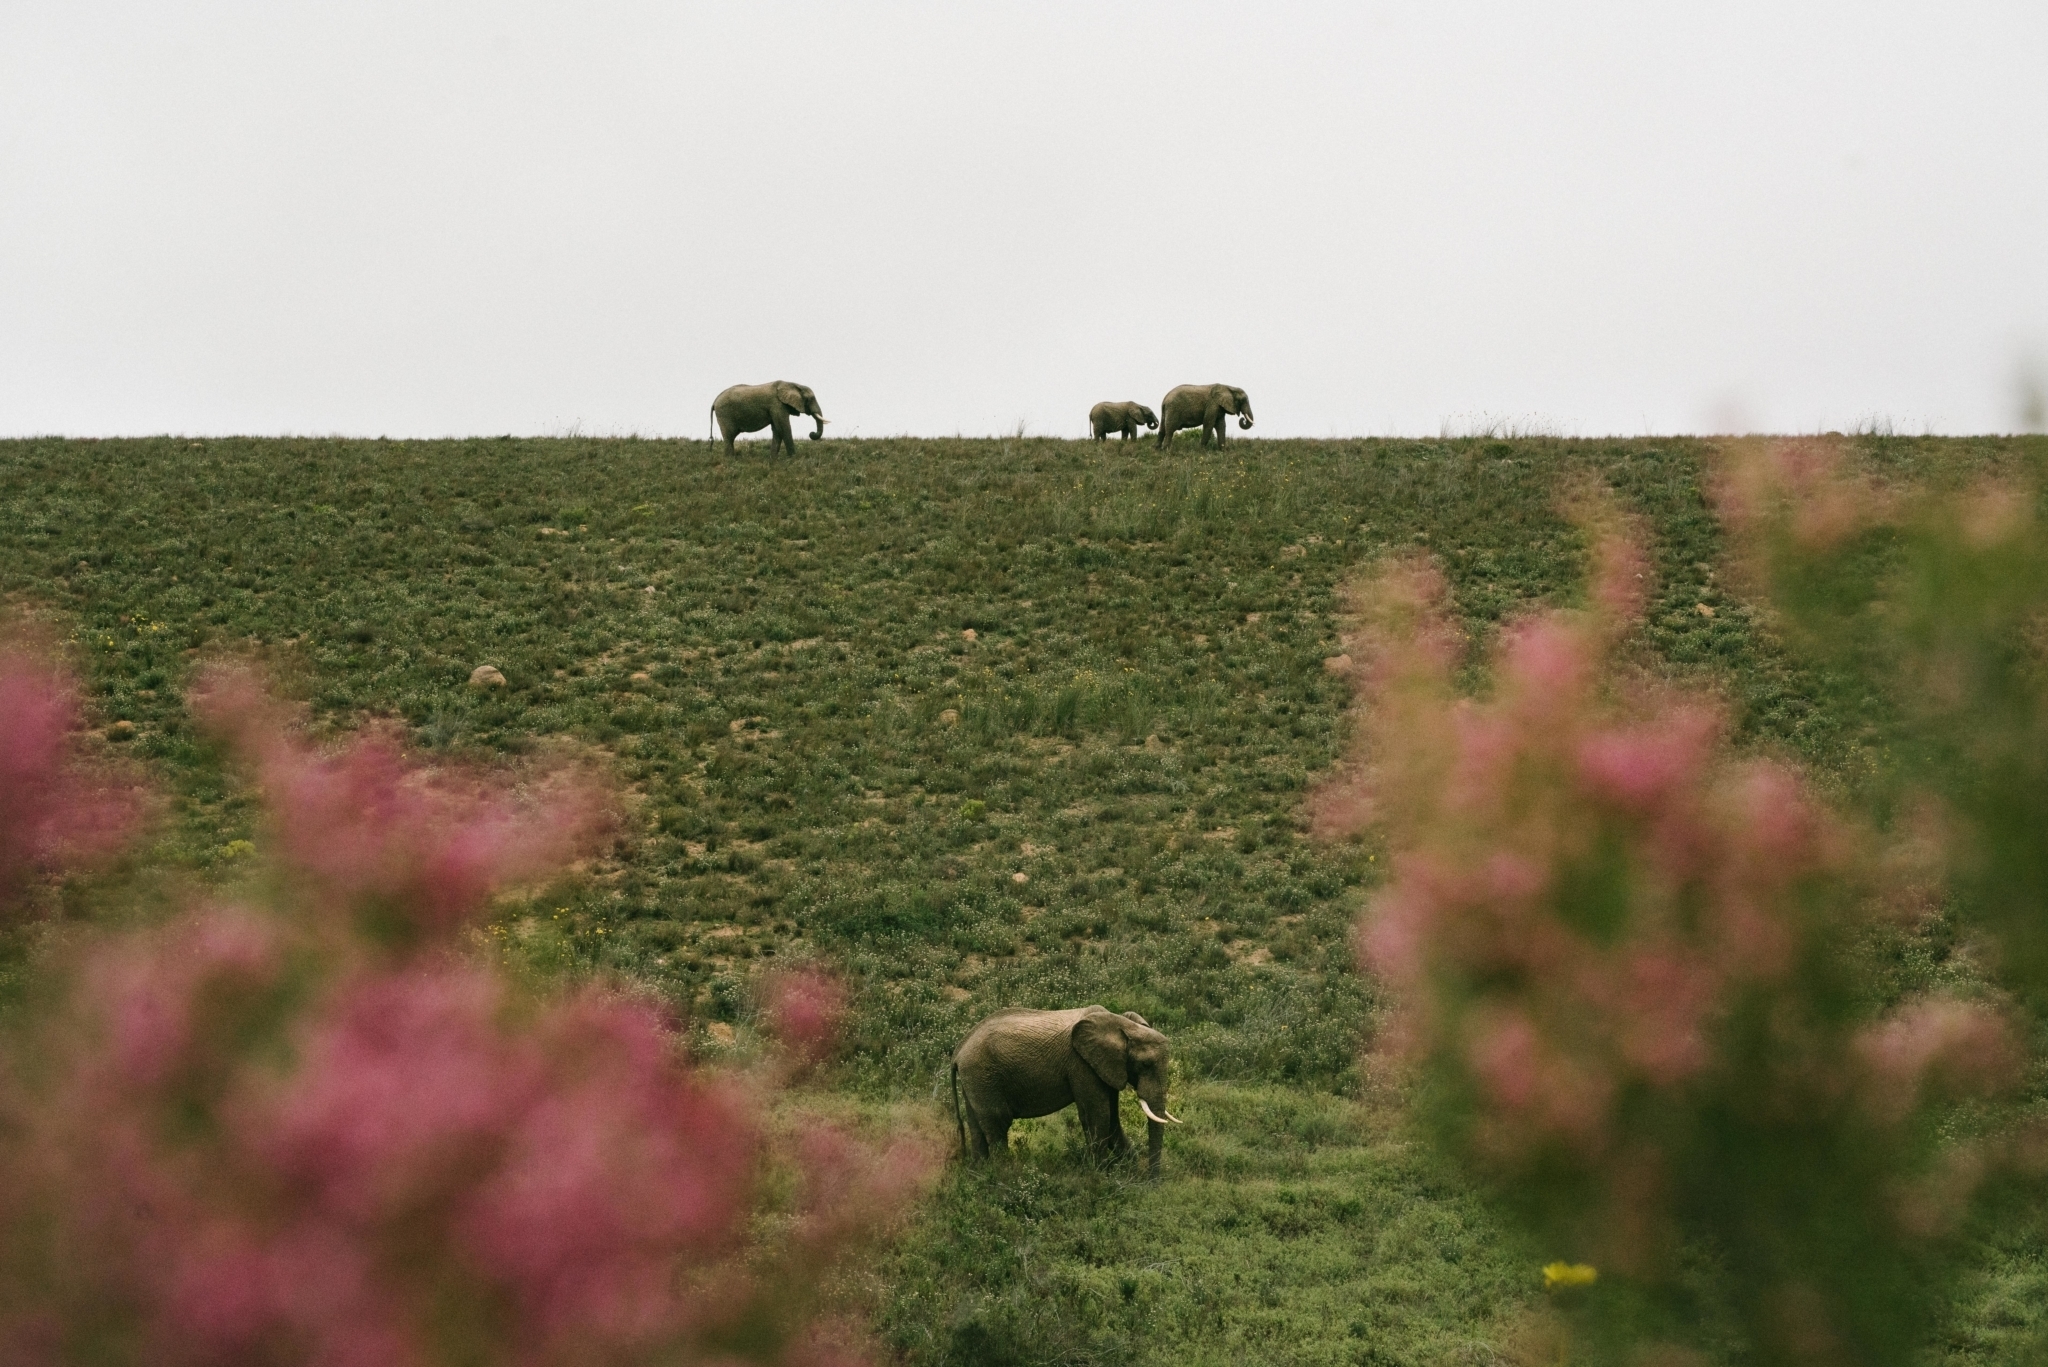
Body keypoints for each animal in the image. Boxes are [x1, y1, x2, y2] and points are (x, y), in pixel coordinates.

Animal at [951, 1006, 1181, 1170]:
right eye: (1146, 1065)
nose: (1151, 1182)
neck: (1121, 1023)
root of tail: (958, 1051)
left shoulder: (1106, 1066)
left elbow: (1112, 1118)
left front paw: (1129, 1172)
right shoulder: (1082, 1064)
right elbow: (1097, 1115)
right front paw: (1100, 1176)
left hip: (974, 1079)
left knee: (977, 1127)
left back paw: (981, 1174)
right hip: (982, 1074)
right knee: (998, 1123)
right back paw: (1004, 1175)